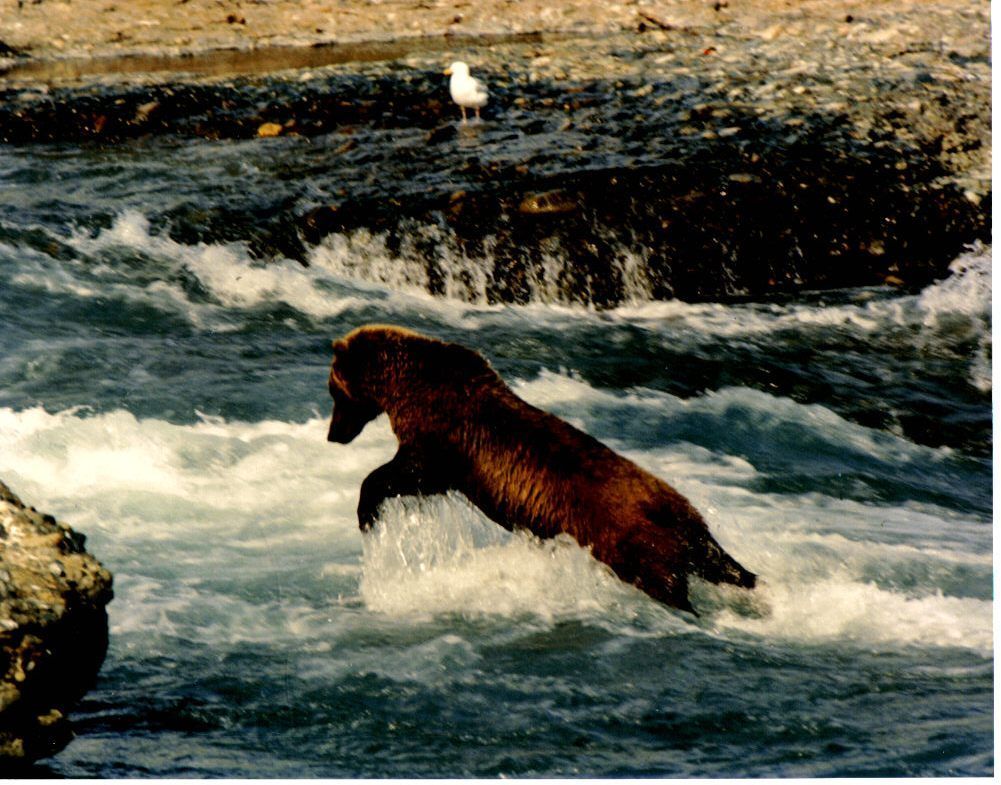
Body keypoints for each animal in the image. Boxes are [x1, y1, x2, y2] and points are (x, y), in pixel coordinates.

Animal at [326, 324, 756, 614]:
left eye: (333, 391)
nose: (332, 435)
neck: (404, 386)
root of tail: (681, 512)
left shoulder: (443, 434)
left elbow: (408, 473)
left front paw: (368, 513)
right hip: (685, 529)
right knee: (718, 563)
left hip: (633, 540)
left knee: (663, 579)